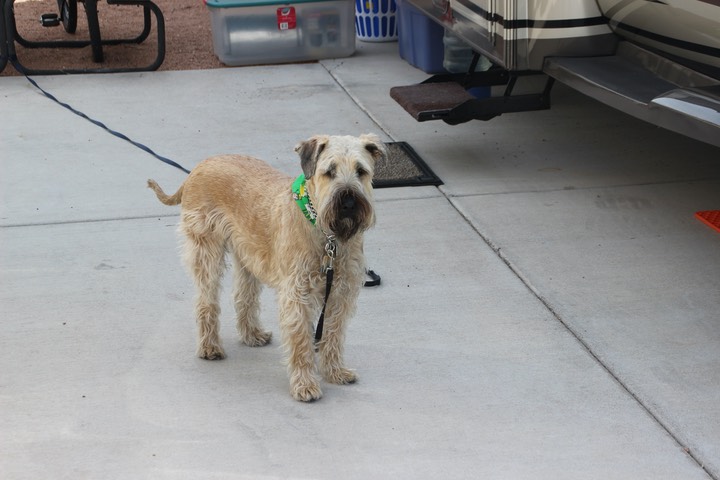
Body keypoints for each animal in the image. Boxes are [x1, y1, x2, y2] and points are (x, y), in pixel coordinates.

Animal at [148, 134, 388, 402]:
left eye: (361, 171)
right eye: (329, 172)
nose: (348, 201)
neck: (327, 235)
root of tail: (198, 167)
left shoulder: (341, 291)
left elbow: (333, 334)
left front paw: (335, 372)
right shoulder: (297, 293)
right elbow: (301, 340)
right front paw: (305, 385)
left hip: (247, 255)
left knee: (243, 296)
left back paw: (252, 335)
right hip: (207, 252)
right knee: (206, 301)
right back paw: (210, 347)